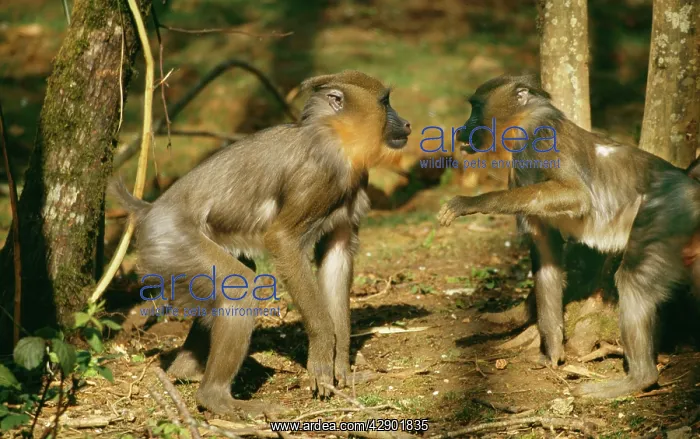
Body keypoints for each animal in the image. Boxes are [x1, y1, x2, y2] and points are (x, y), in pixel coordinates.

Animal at [111, 70, 411, 415]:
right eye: (385, 102)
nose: (406, 124)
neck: (334, 135)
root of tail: (148, 210)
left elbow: (337, 257)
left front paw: (341, 369)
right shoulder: (318, 176)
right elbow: (282, 241)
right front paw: (322, 356)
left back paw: (185, 371)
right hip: (172, 242)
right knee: (237, 287)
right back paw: (215, 397)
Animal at [437, 74, 700, 399]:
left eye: (475, 108)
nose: (462, 129)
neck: (523, 121)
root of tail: (691, 187)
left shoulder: (538, 143)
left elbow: (578, 196)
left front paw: (472, 202)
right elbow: (546, 259)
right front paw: (552, 351)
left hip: (664, 214)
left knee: (634, 279)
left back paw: (639, 378)